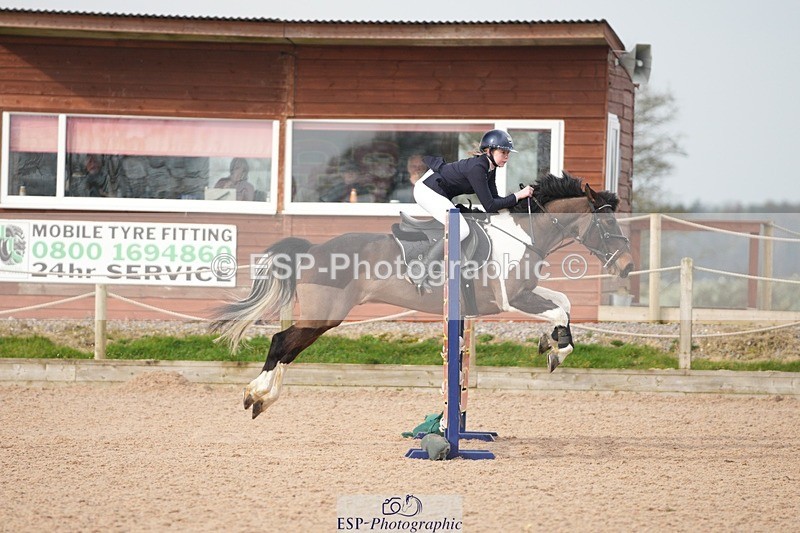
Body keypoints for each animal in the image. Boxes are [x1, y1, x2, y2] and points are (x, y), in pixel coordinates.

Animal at [211, 172, 635, 419]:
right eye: (607, 224)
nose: (629, 267)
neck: (524, 233)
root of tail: (314, 248)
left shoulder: (526, 291)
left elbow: (564, 305)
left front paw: (551, 344)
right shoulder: (511, 300)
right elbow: (559, 312)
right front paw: (556, 350)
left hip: (322, 318)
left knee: (289, 347)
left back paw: (262, 400)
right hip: (324, 316)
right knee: (281, 342)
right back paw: (255, 395)